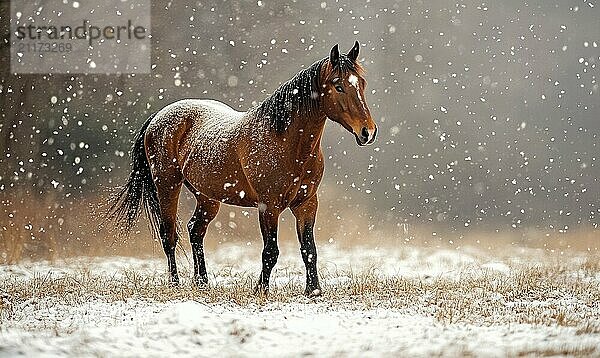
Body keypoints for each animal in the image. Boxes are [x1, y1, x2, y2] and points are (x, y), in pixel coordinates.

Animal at [109, 41, 376, 296]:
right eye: (338, 85)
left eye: (361, 83)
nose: (368, 132)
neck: (285, 140)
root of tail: (157, 117)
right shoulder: (268, 206)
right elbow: (270, 251)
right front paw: (261, 289)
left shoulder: (307, 203)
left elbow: (309, 249)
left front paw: (314, 290)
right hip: (167, 186)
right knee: (169, 235)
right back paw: (175, 284)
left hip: (207, 197)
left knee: (195, 230)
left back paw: (202, 282)